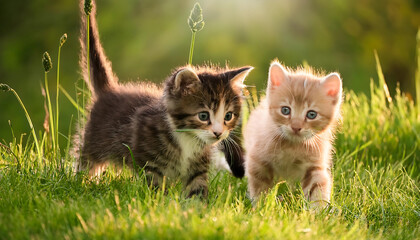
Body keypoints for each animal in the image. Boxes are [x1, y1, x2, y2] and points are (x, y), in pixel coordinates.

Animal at [73, 0, 253, 198]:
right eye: (203, 116)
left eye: (228, 116)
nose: (218, 133)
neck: (187, 140)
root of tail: (109, 89)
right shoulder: (150, 164)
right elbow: (157, 188)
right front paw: (162, 202)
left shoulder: (197, 168)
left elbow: (197, 190)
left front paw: (196, 206)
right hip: (93, 142)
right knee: (86, 162)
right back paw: (80, 183)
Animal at [243, 60, 342, 208]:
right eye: (285, 110)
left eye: (311, 114)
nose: (296, 127)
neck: (292, 146)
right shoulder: (258, 160)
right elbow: (260, 188)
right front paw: (262, 207)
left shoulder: (314, 165)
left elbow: (317, 188)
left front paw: (319, 211)